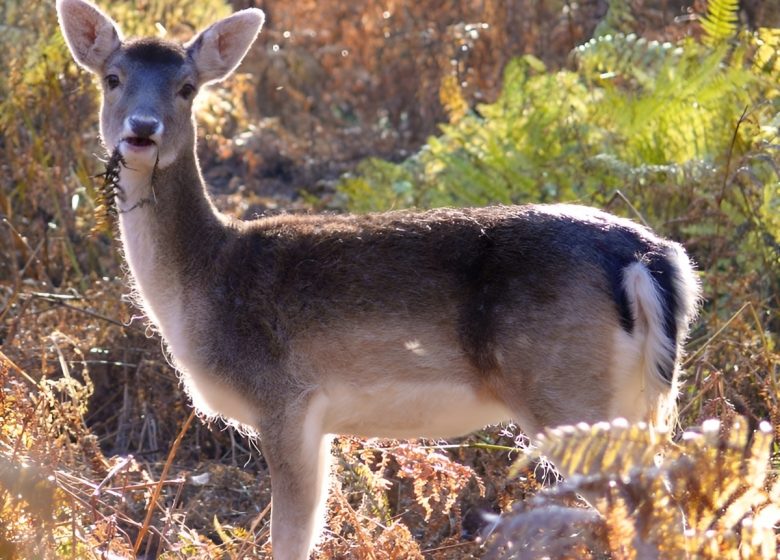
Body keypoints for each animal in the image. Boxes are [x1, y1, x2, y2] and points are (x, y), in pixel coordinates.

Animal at [54, 2, 700, 556]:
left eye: (187, 88)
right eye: (112, 78)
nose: (142, 130)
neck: (201, 285)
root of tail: (648, 256)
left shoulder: (284, 398)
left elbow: (291, 537)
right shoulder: (318, 423)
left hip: (568, 393)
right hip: (639, 399)